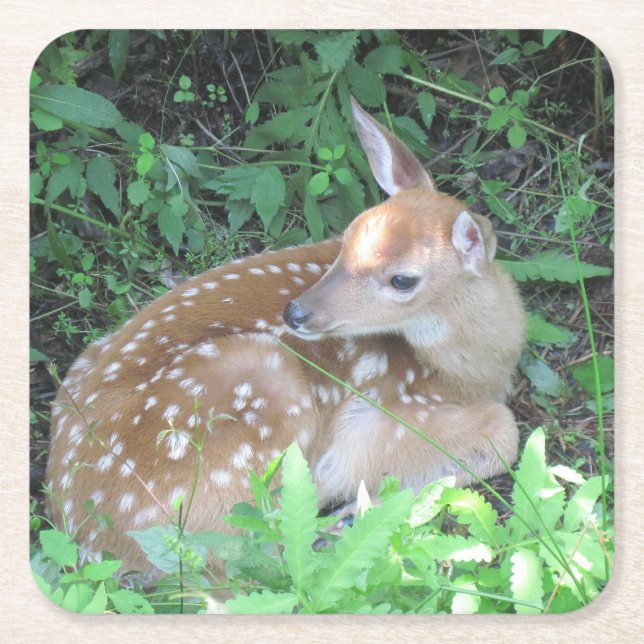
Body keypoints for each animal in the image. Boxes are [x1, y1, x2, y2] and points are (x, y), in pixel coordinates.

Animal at [46, 98, 525, 578]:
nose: (296, 311)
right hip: (259, 394)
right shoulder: (379, 417)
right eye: (346, 238)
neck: (469, 373)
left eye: (403, 279)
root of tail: (88, 539)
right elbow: (505, 434)